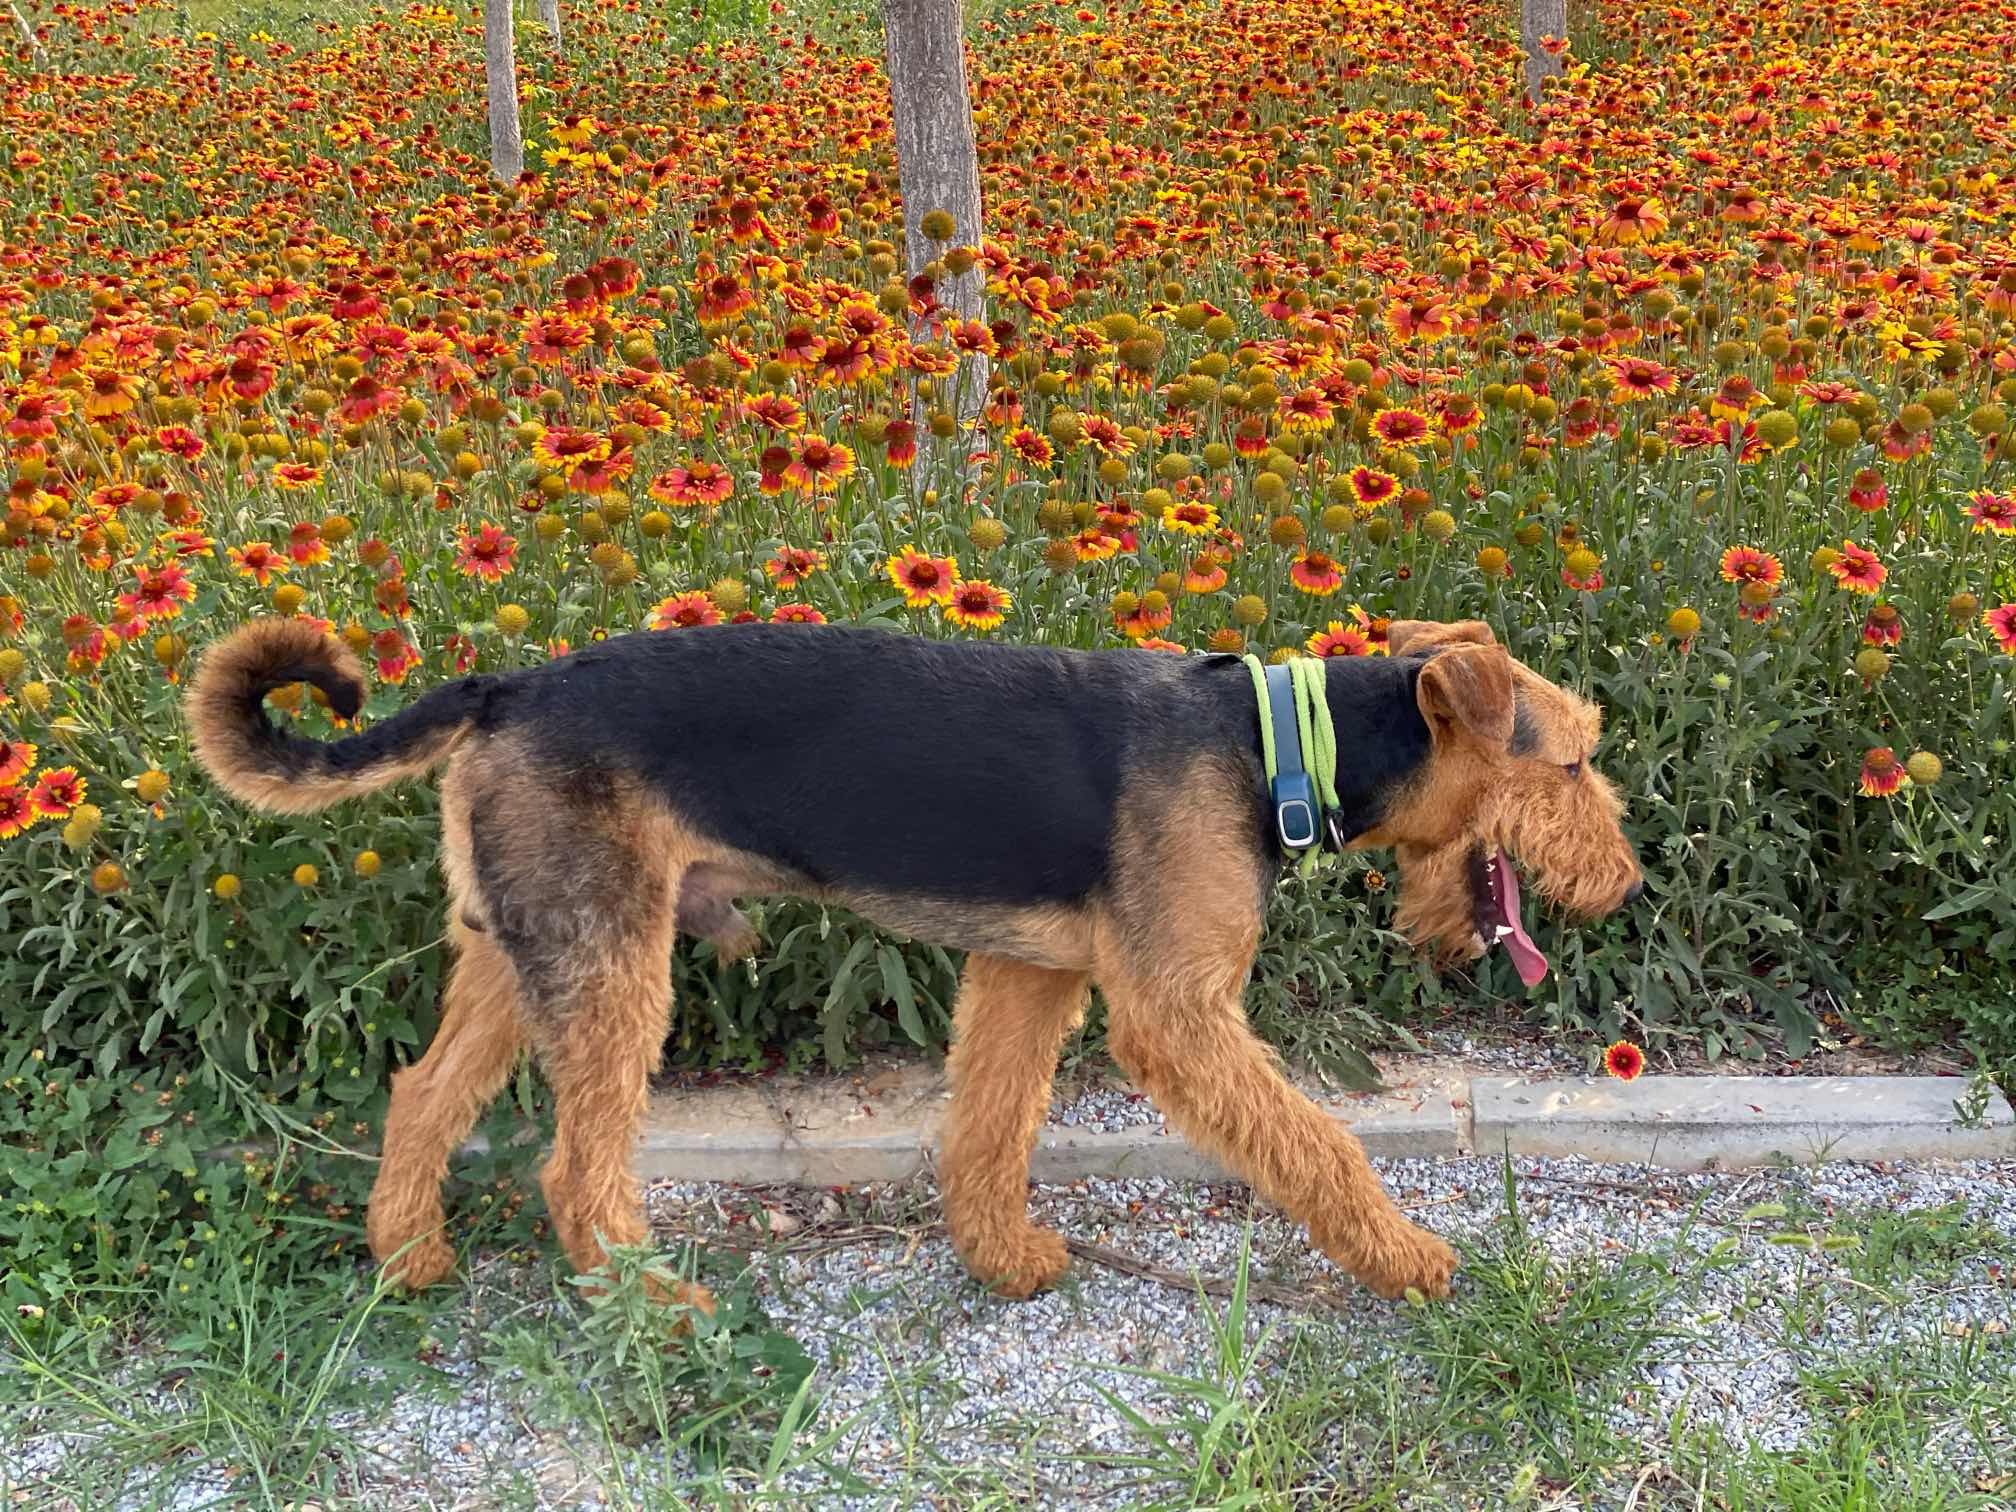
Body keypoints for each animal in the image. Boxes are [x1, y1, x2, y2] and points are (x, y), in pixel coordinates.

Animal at [185, 616, 1636, 1314]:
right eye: (1571, 762)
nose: (1623, 880)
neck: (1284, 748)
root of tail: (506, 689)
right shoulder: (1175, 1013)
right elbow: (1320, 1144)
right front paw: (1410, 1263)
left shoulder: (1029, 977)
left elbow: (990, 1128)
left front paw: (1008, 1261)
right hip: (614, 968)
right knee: (575, 1175)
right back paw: (664, 1313)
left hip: (518, 948)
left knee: (421, 1099)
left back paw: (411, 1264)